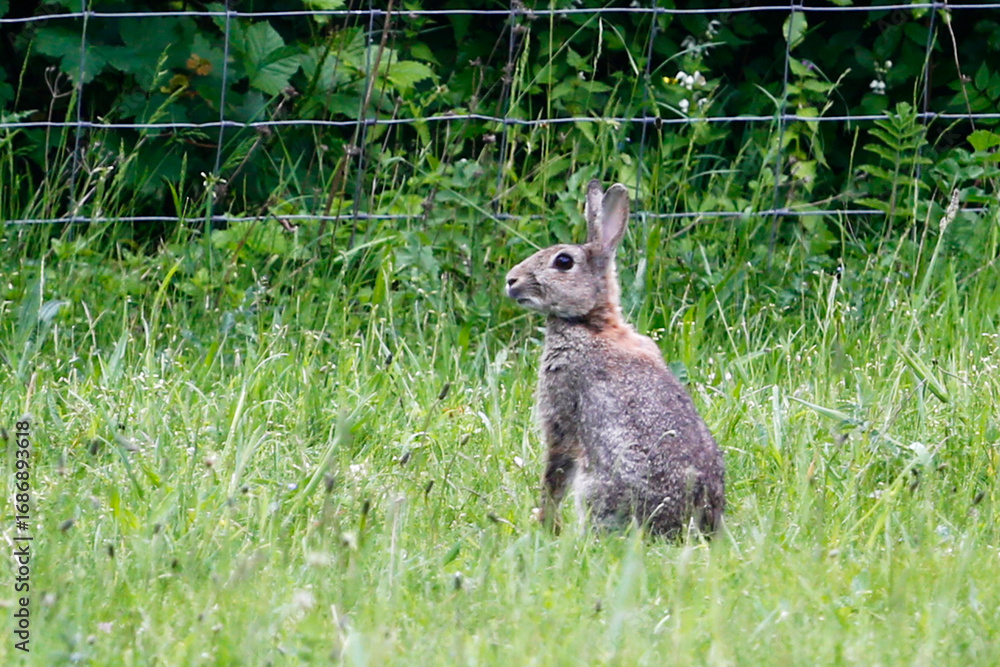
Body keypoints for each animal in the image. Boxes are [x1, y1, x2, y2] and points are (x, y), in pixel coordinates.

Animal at [504, 180, 725, 537]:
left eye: (563, 262)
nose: (511, 280)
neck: (590, 323)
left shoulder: (562, 412)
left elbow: (556, 470)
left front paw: (546, 523)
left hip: (597, 485)